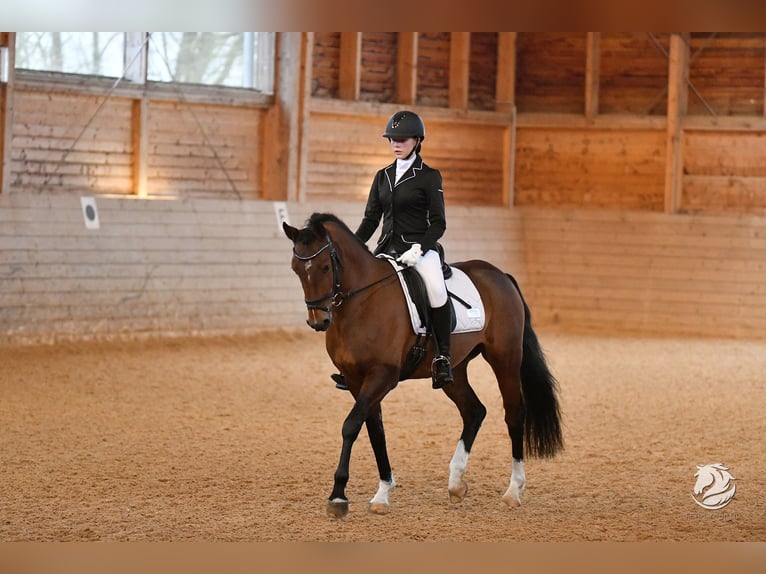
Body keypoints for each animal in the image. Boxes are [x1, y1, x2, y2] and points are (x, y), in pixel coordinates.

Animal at [284, 214, 564, 520]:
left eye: (325, 267)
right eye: (296, 269)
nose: (318, 321)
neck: (361, 303)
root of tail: (501, 275)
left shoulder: (382, 375)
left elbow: (351, 426)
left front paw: (338, 496)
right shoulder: (356, 380)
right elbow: (375, 430)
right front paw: (382, 493)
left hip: (505, 358)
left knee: (514, 414)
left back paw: (513, 491)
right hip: (454, 370)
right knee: (474, 411)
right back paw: (456, 484)